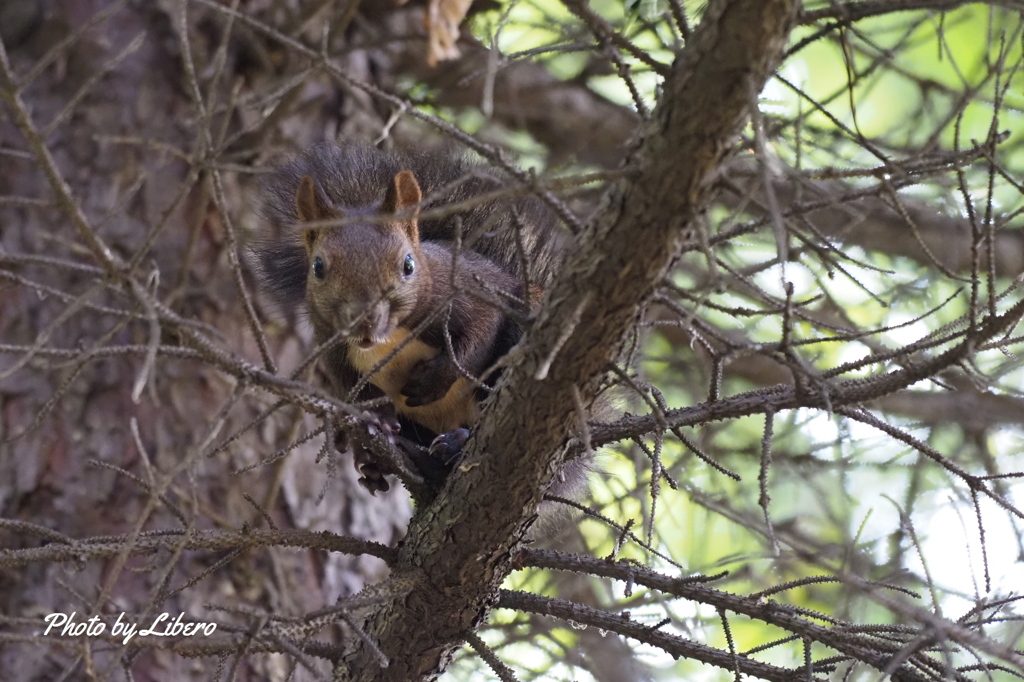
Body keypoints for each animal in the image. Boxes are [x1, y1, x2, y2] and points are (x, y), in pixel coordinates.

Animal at [254, 142, 581, 493]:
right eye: (317, 267)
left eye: (408, 265)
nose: (364, 320)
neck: (388, 339)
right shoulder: (333, 348)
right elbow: (352, 388)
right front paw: (377, 420)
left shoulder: (471, 296)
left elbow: (480, 333)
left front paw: (432, 380)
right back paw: (387, 458)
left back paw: (455, 444)